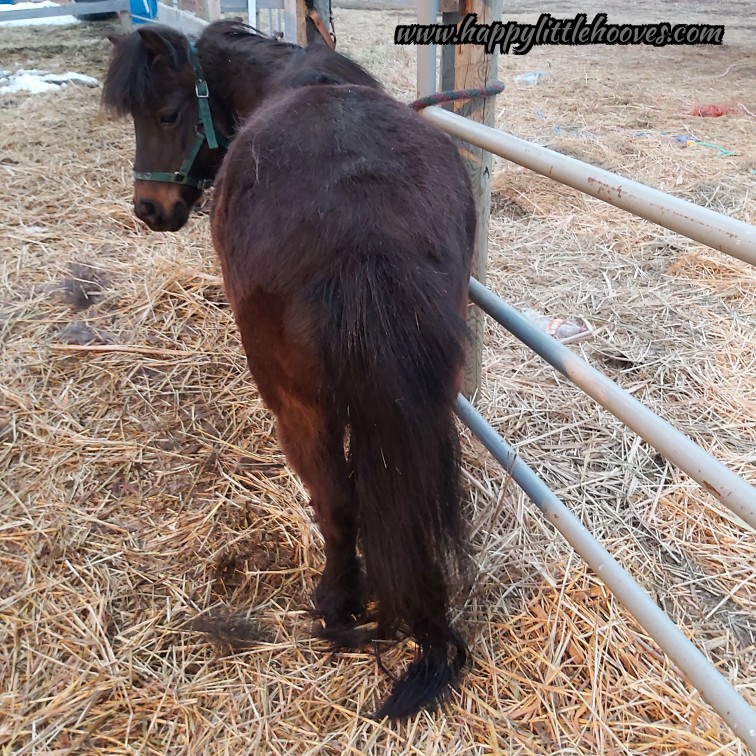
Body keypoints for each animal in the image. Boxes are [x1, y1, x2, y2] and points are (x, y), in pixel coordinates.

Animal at [103, 20, 477, 720]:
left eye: (165, 114)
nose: (149, 208)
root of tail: (364, 230)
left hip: (298, 407)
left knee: (337, 501)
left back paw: (336, 607)